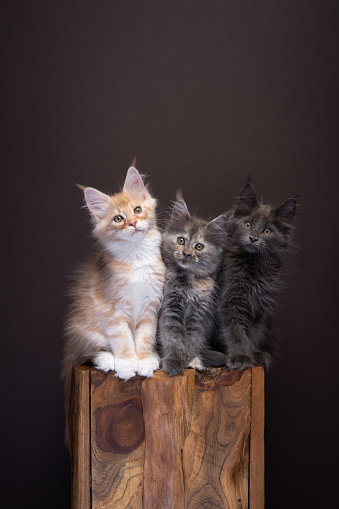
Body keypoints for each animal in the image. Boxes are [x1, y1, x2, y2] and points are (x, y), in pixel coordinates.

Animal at [62, 166, 166, 408]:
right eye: (119, 218)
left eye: (137, 210)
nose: (133, 223)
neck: (137, 258)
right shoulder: (111, 308)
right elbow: (123, 338)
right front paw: (127, 363)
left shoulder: (151, 306)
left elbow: (144, 336)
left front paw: (144, 360)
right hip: (88, 329)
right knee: (88, 353)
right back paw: (109, 360)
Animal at [159, 192, 228, 376]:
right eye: (181, 241)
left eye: (199, 246)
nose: (187, 254)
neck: (188, 283)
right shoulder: (169, 307)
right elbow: (172, 337)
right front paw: (174, 362)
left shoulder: (200, 314)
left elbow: (193, 339)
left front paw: (191, 360)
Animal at [219, 179, 296, 370]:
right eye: (248, 225)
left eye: (267, 231)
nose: (253, 238)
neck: (253, 266)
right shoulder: (231, 299)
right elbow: (236, 331)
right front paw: (240, 356)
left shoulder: (260, 304)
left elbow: (253, 332)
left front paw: (253, 354)